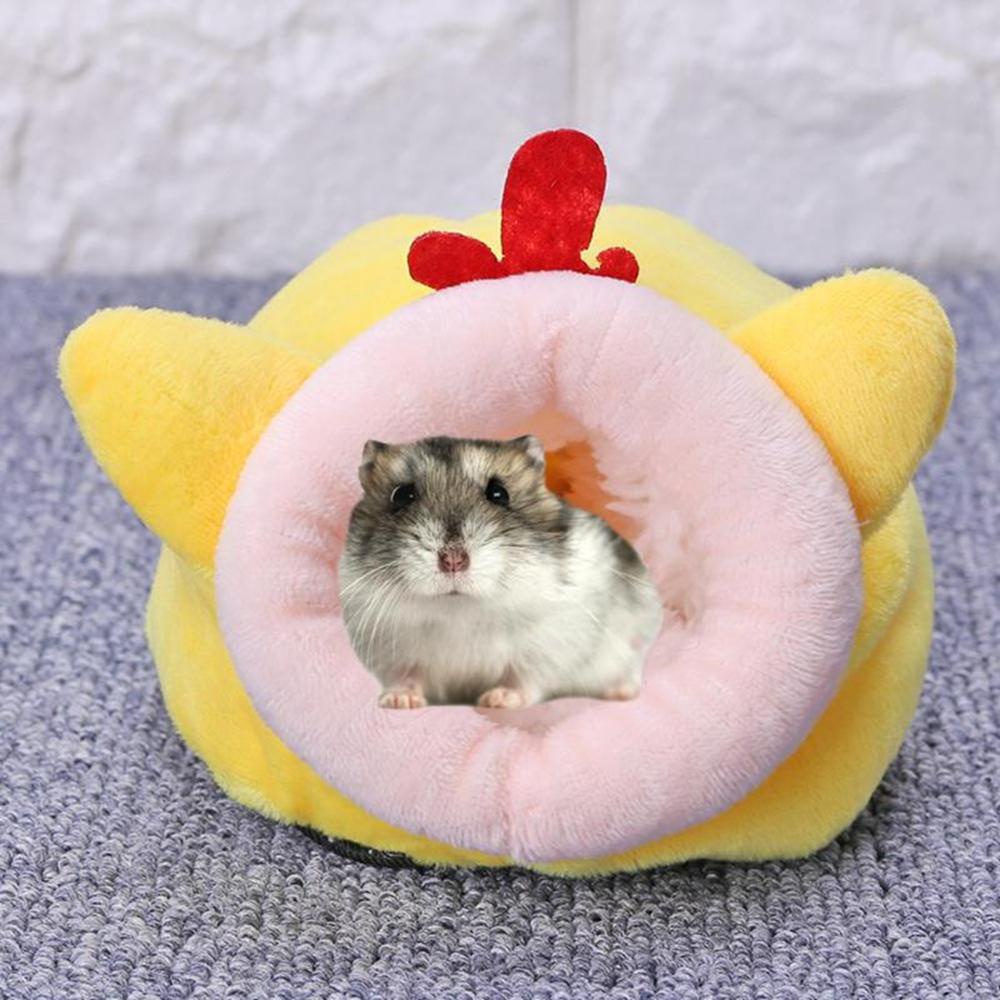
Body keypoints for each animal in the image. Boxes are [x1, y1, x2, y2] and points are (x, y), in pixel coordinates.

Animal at [337, 435, 663, 709]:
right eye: (401, 495)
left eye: (499, 493)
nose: (453, 561)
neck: (458, 610)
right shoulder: (391, 654)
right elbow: (406, 677)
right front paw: (397, 701)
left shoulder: (547, 648)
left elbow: (523, 678)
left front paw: (497, 700)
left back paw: (621, 693)